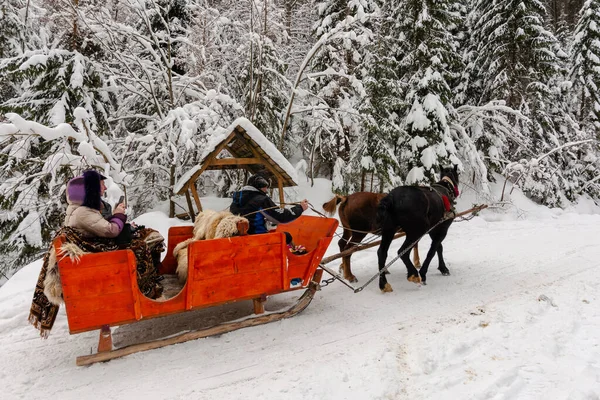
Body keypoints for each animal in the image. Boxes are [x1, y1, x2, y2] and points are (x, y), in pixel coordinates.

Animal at [376, 164, 460, 292]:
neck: (446, 188)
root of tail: (391, 198)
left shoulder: (433, 230)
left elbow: (438, 248)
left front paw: (443, 268)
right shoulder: (442, 229)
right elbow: (432, 251)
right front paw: (424, 273)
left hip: (389, 230)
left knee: (382, 253)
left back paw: (383, 283)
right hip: (417, 231)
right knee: (402, 252)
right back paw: (414, 274)